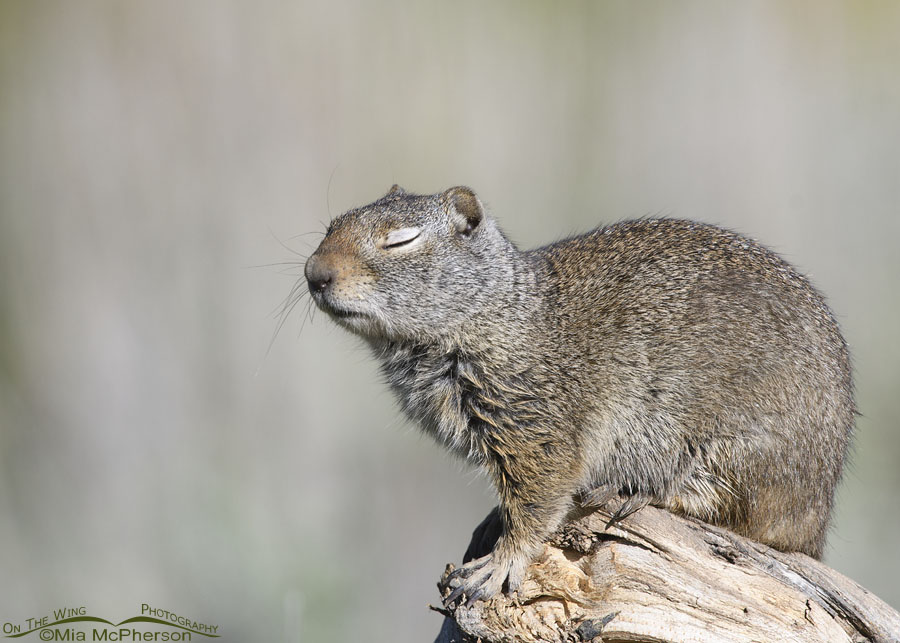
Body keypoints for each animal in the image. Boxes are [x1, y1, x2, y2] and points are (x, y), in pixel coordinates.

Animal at [304, 185, 856, 604]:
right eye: (332, 225)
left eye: (401, 240)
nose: (314, 273)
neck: (497, 313)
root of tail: (818, 513)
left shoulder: (537, 428)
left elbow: (538, 500)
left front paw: (500, 564)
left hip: (740, 454)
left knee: (741, 517)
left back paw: (637, 492)